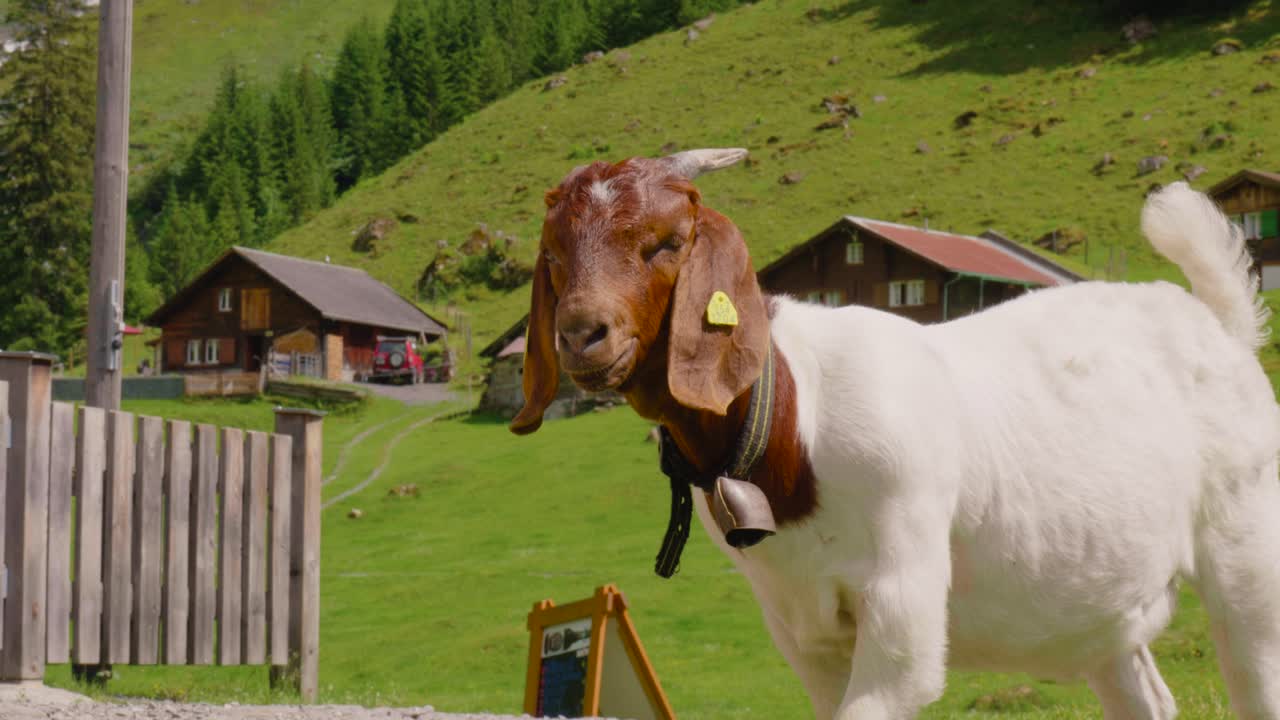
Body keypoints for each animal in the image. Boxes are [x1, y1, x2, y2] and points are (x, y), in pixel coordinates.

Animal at [511, 148, 1280, 720]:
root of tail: (1217, 323)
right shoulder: (803, 631)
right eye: (553, 255)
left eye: (667, 242)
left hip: (1245, 550)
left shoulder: (900, 603)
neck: (797, 426)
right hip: (1103, 609)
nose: (581, 333)